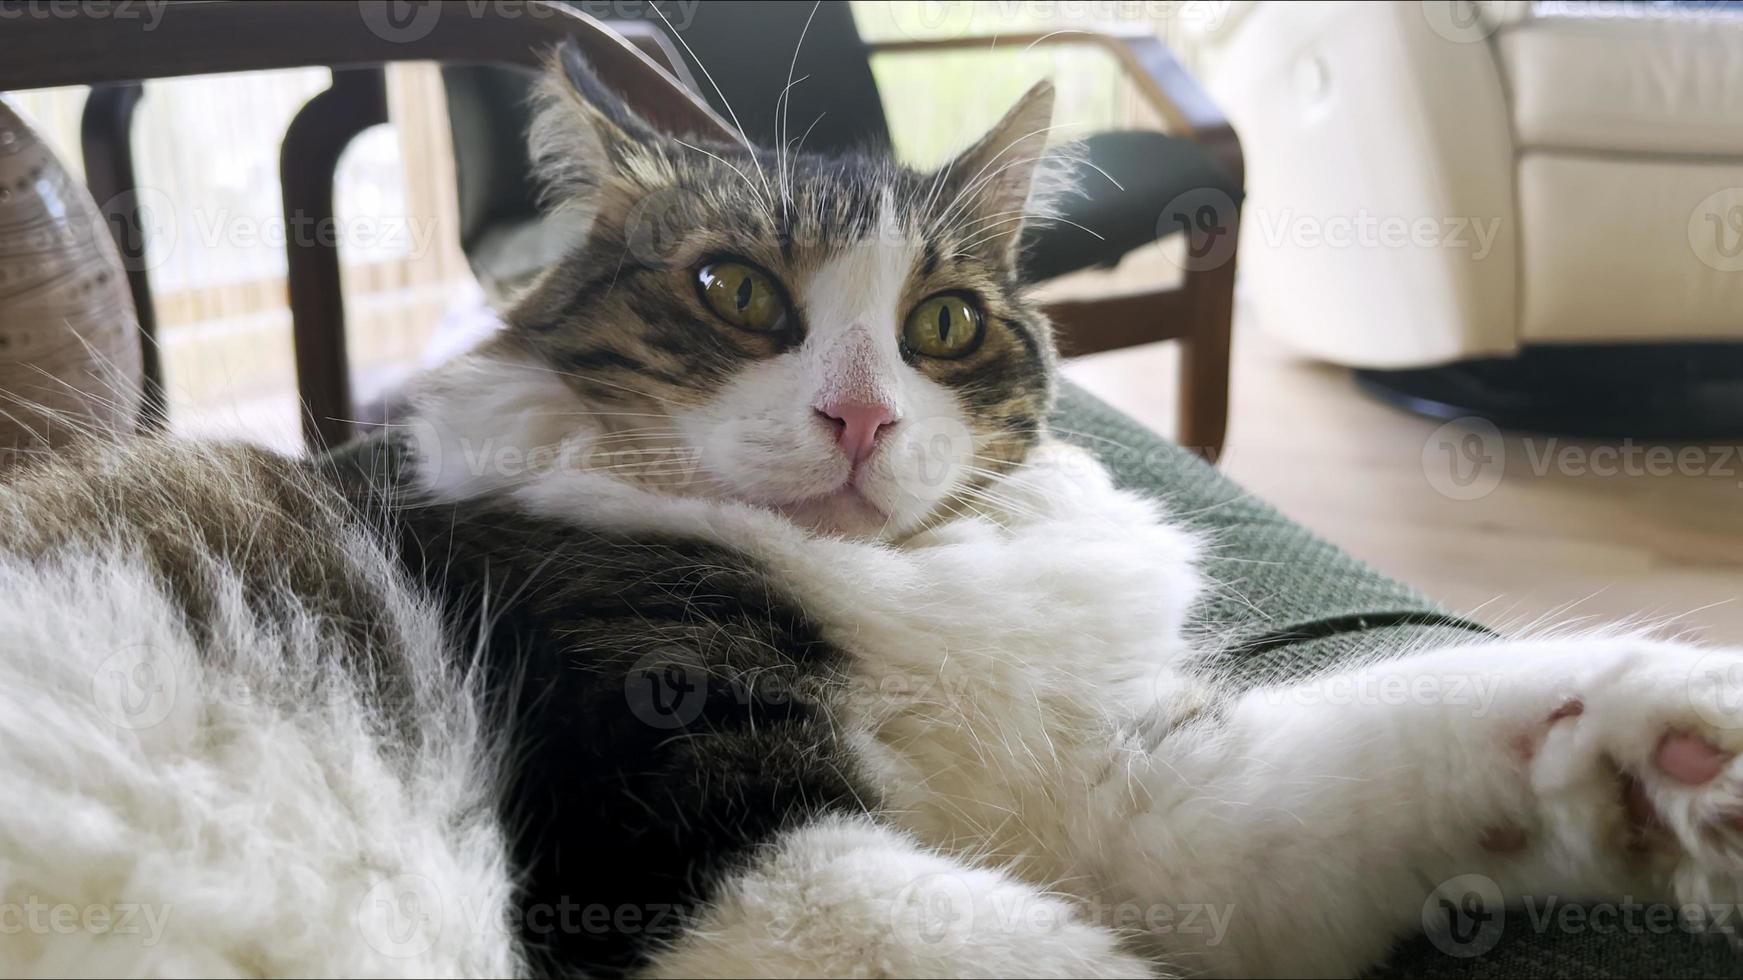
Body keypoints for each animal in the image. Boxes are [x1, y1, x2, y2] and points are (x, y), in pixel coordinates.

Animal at [10, 40, 1743, 976]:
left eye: (945, 324)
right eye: (735, 291)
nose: (859, 416)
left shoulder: (1128, 815)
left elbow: (1414, 732)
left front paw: (1677, 748)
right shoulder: (676, 846)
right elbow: (1039, 954)